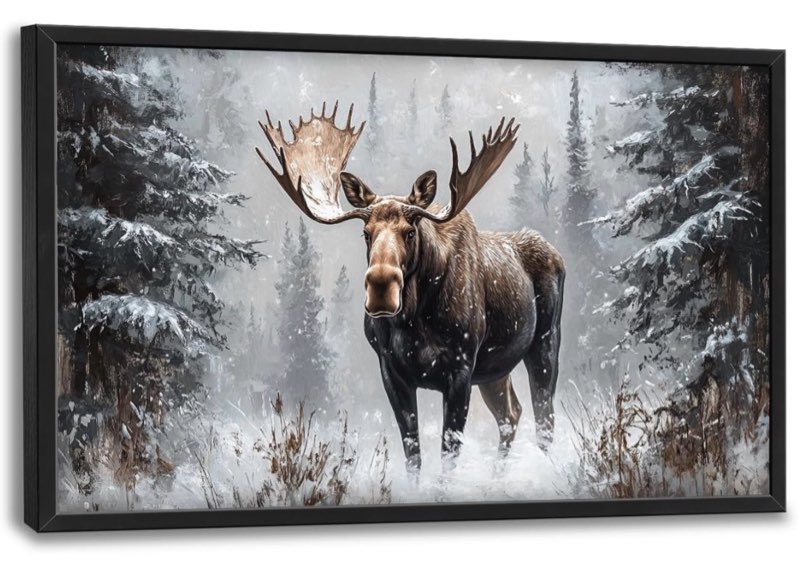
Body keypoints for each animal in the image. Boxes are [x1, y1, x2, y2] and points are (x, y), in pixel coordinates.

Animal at [256, 102, 565, 474]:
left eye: (410, 231)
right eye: (366, 233)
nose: (381, 287)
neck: (415, 320)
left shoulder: (461, 368)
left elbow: (448, 455)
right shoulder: (392, 372)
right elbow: (413, 454)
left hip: (545, 344)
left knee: (544, 420)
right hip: (495, 369)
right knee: (511, 415)